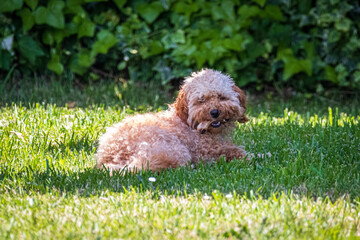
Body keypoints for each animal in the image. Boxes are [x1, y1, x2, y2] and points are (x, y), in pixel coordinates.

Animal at [95, 68, 250, 172]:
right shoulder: (205, 151)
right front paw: (247, 157)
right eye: (201, 100)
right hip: (175, 150)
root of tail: (109, 156)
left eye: (221, 97)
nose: (215, 112)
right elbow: (232, 151)